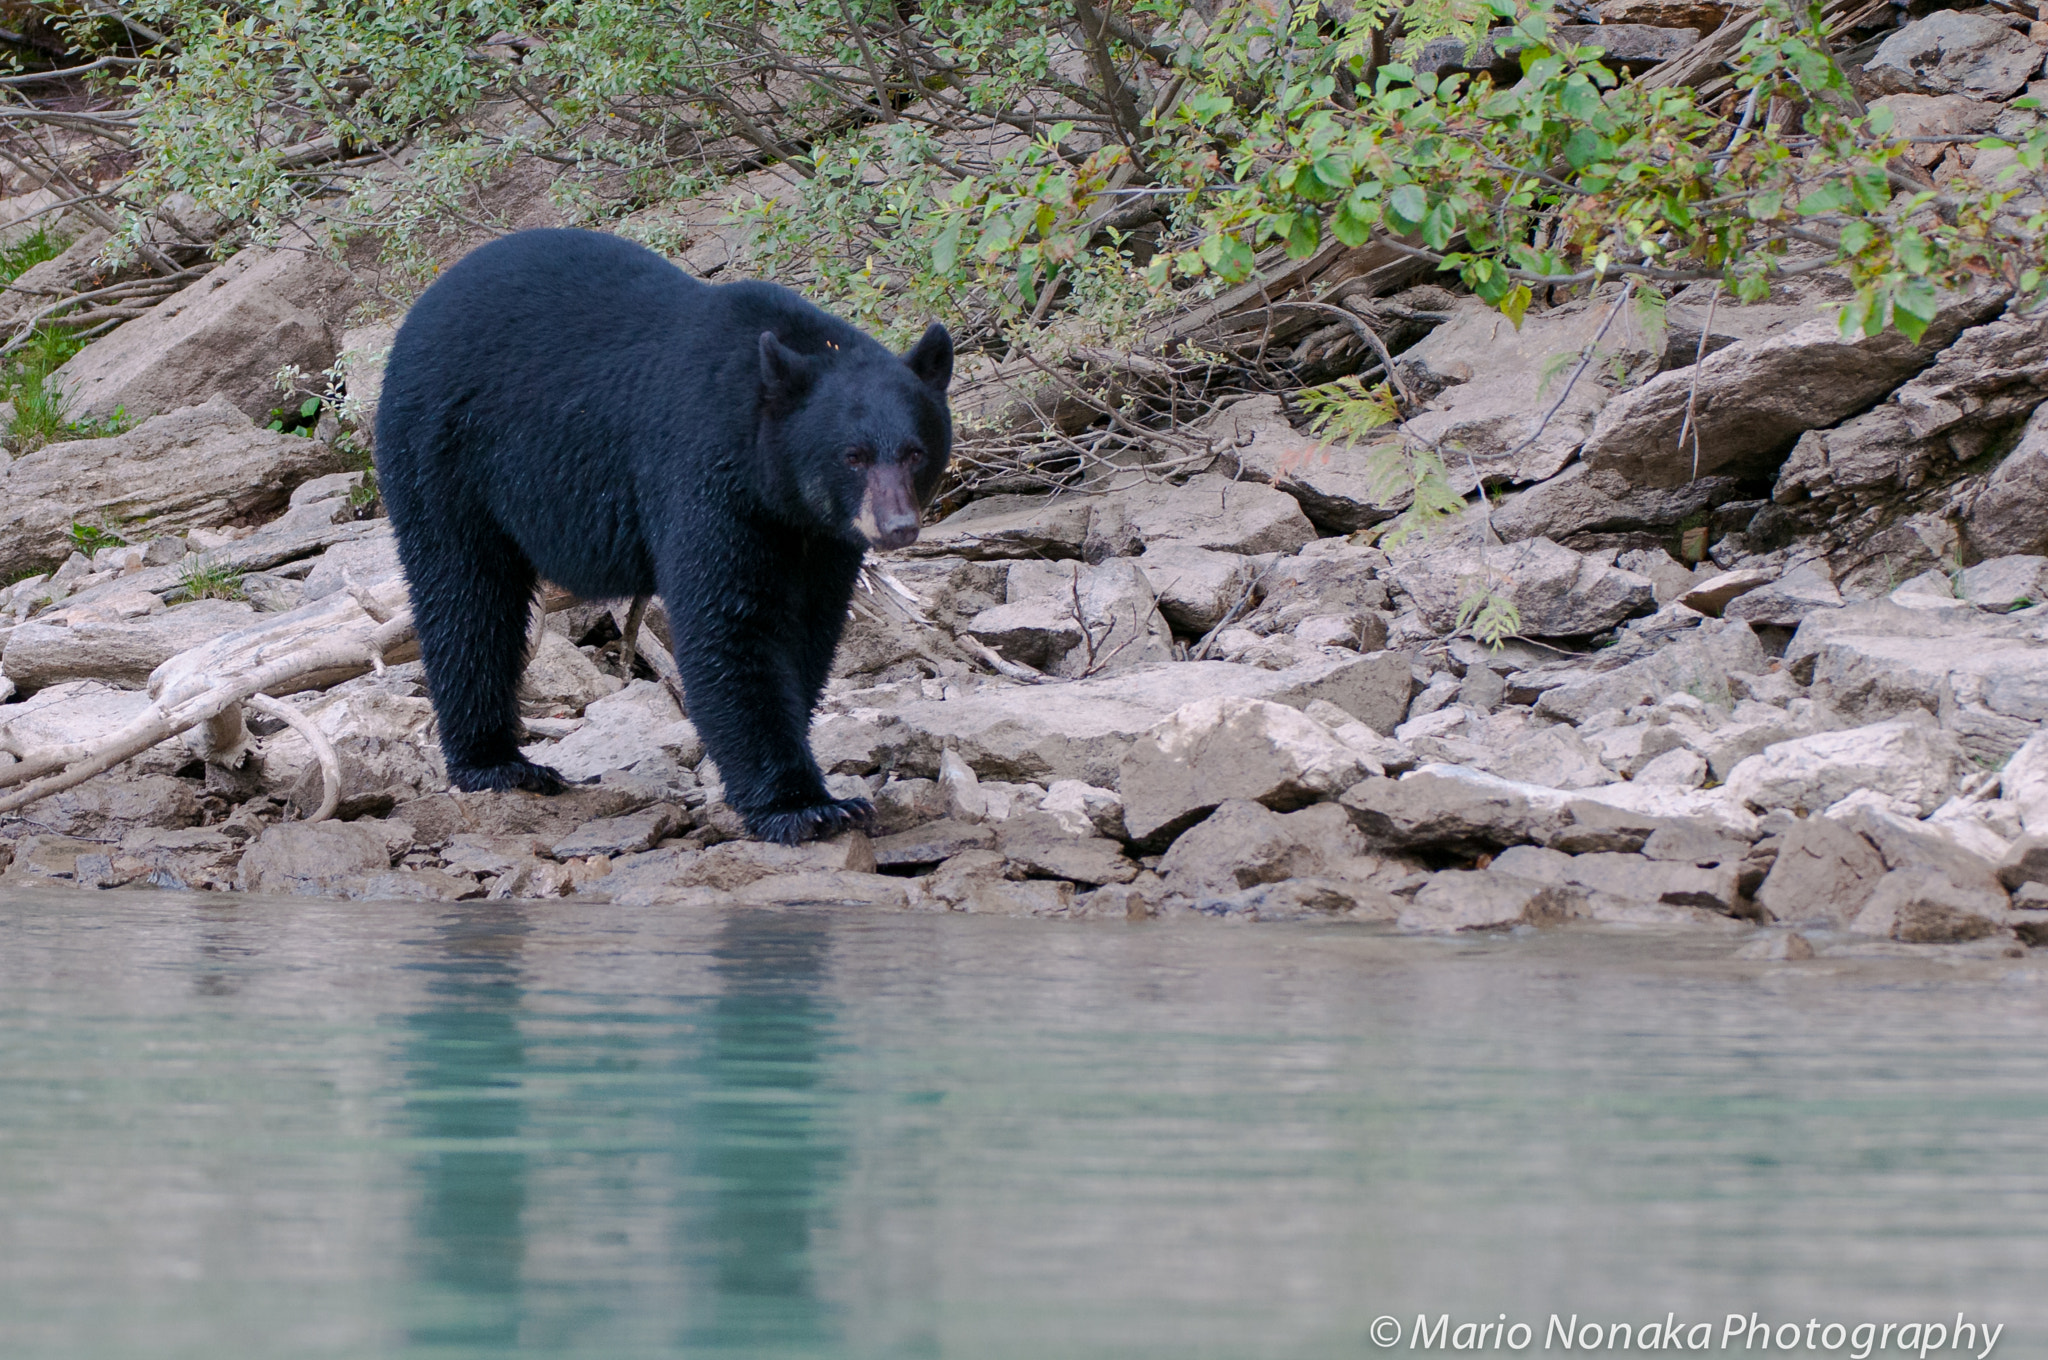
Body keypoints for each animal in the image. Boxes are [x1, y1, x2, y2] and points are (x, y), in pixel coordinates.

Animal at [374, 228, 952, 845]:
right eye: (853, 456)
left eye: (915, 452)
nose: (898, 526)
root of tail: (419, 312)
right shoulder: (704, 474)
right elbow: (731, 624)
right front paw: (804, 805)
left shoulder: (820, 536)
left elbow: (810, 627)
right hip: (442, 453)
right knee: (466, 597)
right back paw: (497, 763)